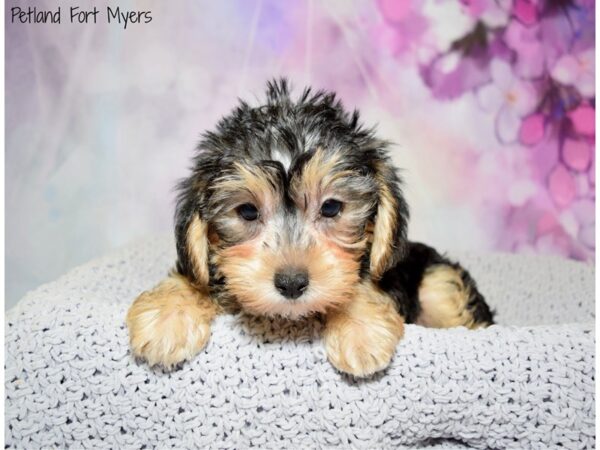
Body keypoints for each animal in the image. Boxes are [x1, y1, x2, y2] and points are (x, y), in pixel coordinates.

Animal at [125, 80, 492, 376]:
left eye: (331, 207)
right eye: (247, 211)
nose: (291, 283)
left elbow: (359, 284)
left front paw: (359, 330)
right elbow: (192, 278)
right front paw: (166, 317)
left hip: (438, 281)